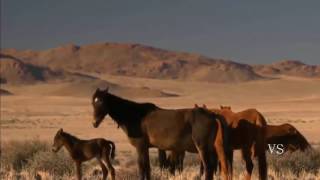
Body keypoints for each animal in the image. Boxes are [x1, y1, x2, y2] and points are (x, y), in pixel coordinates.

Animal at [91, 88, 229, 180]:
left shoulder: (140, 147)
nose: (94, 123)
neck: (135, 115)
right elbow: (147, 169)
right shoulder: (146, 148)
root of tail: (213, 115)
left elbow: (142, 168)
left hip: (202, 148)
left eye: (102, 102)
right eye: (93, 102)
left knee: (208, 168)